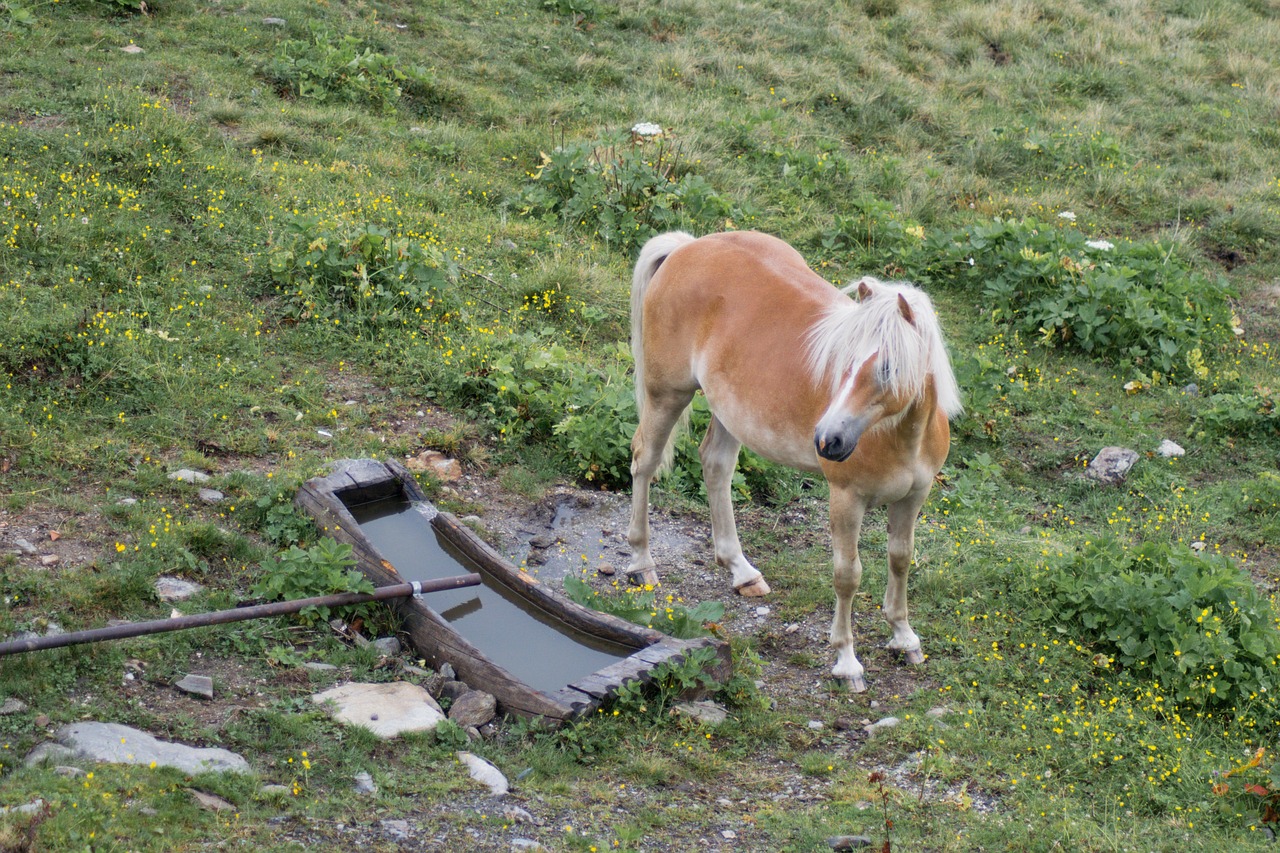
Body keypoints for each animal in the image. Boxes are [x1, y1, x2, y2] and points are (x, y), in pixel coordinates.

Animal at [629, 227, 962, 691]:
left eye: (888, 368)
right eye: (844, 360)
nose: (827, 440)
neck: (902, 435)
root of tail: (688, 246)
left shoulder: (914, 496)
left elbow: (900, 559)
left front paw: (903, 637)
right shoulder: (846, 499)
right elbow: (848, 575)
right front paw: (847, 662)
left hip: (731, 412)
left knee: (716, 466)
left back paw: (742, 571)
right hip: (667, 394)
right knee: (644, 462)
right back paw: (642, 563)